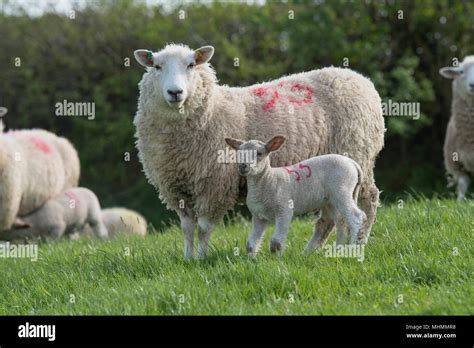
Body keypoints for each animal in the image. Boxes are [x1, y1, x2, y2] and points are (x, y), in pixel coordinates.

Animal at [224, 136, 364, 256]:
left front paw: (276, 259)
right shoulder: (258, 216)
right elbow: (251, 243)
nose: (243, 166)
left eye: (259, 153)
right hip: (331, 200)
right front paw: (251, 259)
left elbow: (276, 241)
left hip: (342, 190)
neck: (268, 180)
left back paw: (353, 249)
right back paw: (337, 251)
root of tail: (352, 163)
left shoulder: (284, 210)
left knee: (356, 217)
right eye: (239, 154)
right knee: (340, 223)